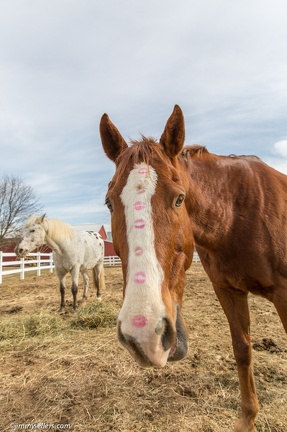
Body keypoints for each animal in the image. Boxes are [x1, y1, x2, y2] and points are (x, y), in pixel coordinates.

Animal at [99, 105, 287, 432]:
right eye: (109, 203)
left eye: (179, 199)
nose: (143, 333)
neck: (236, 216)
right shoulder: (227, 291)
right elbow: (242, 350)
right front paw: (247, 419)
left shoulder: (284, 294)